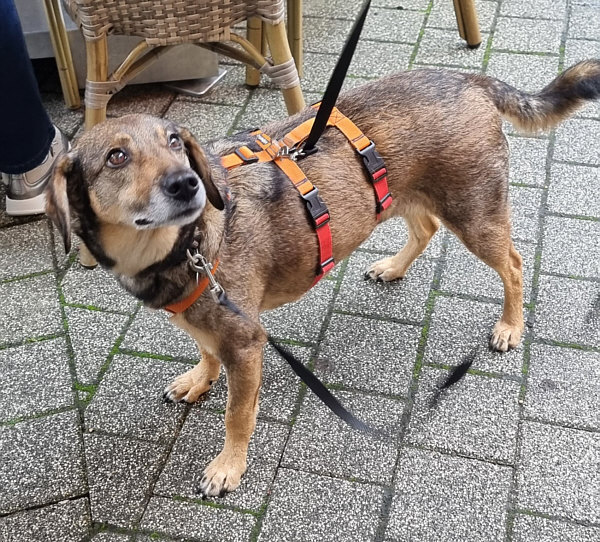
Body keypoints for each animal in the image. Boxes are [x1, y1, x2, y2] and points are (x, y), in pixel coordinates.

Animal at [46, 60, 600, 497]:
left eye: (177, 143)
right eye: (116, 156)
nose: (187, 185)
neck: (186, 245)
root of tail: (468, 78)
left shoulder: (245, 341)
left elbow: (237, 415)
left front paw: (229, 467)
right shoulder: (209, 322)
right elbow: (205, 352)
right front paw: (199, 380)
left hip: (477, 217)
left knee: (514, 265)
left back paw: (510, 326)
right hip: (403, 198)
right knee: (425, 229)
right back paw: (393, 267)